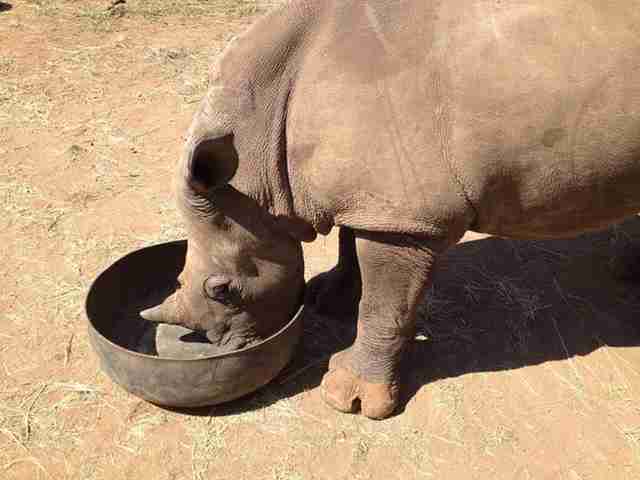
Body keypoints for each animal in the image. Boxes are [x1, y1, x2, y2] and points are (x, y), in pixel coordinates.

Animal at [140, 0, 640, 418]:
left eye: (223, 290)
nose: (224, 346)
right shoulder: (375, 200)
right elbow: (349, 244)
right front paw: (329, 298)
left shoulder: (405, 220)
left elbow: (383, 305)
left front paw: (351, 400)